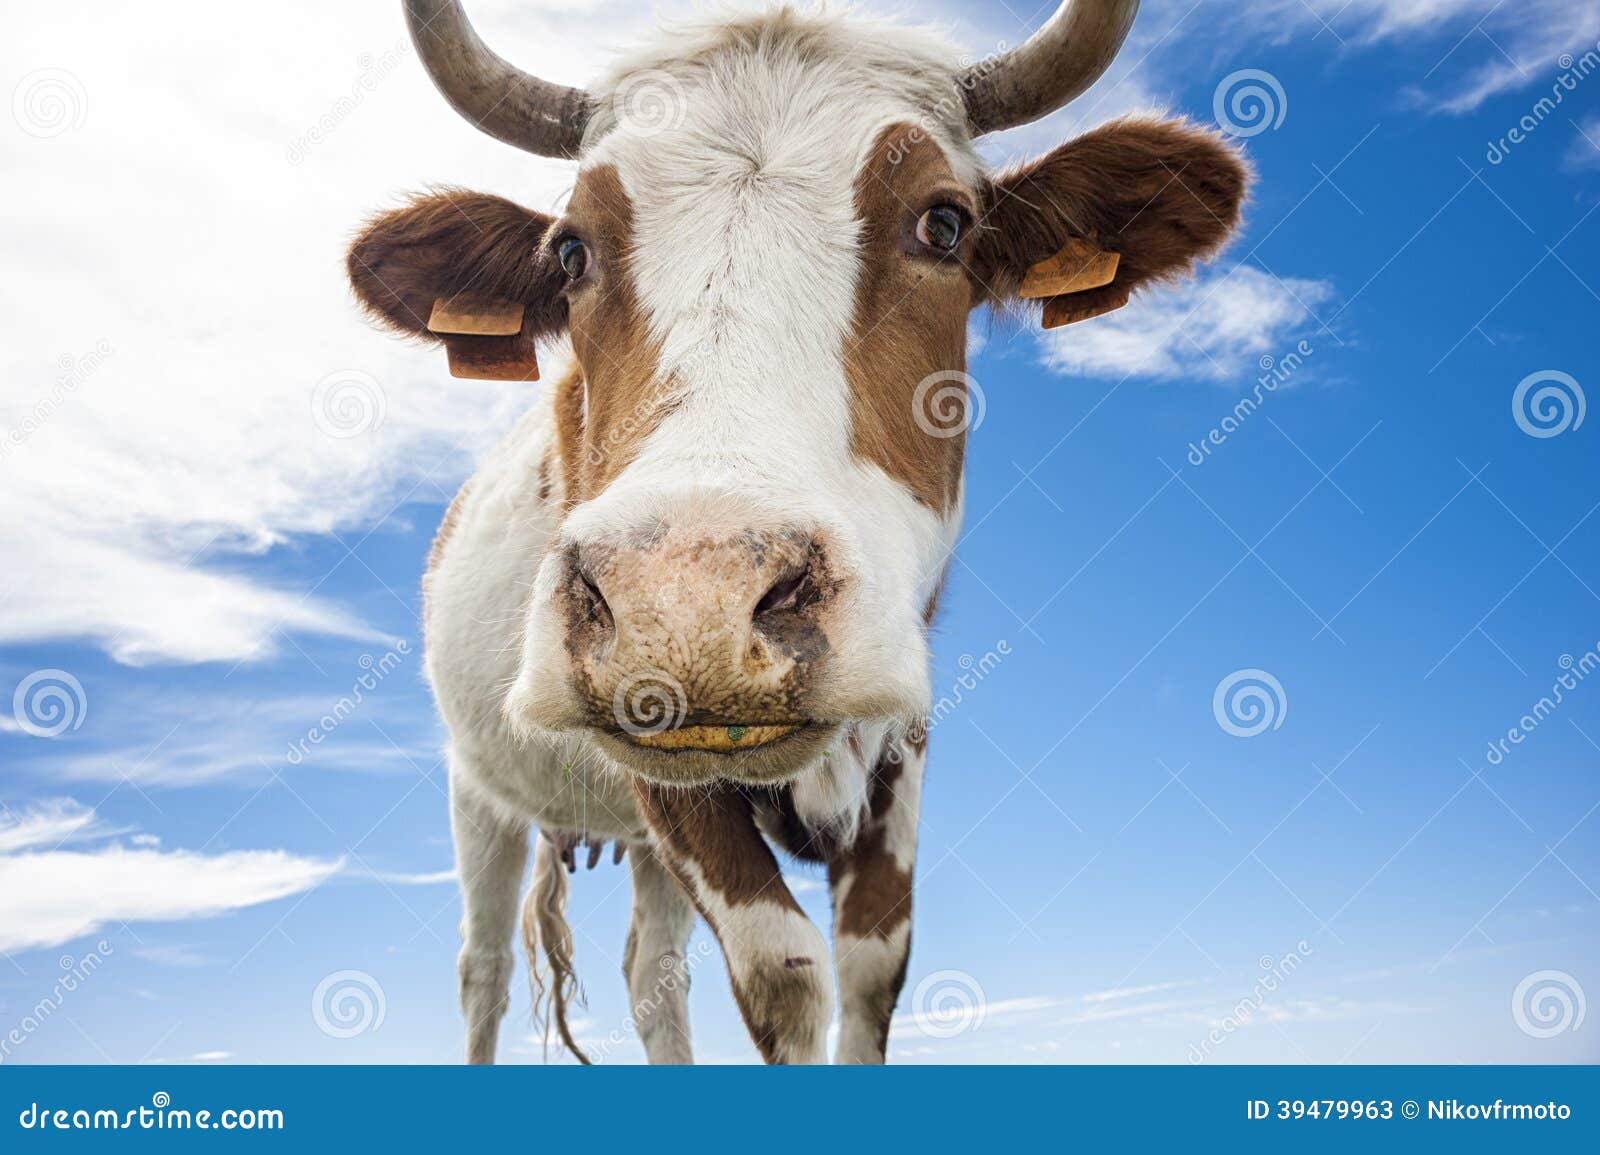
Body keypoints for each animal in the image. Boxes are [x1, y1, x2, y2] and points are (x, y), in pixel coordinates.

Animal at [346, 0, 1247, 1064]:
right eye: (569, 251)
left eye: (944, 223)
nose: (684, 601)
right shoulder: (672, 781)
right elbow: (784, 970)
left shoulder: (900, 738)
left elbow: (873, 961)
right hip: (476, 789)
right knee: (482, 970)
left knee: (651, 967)